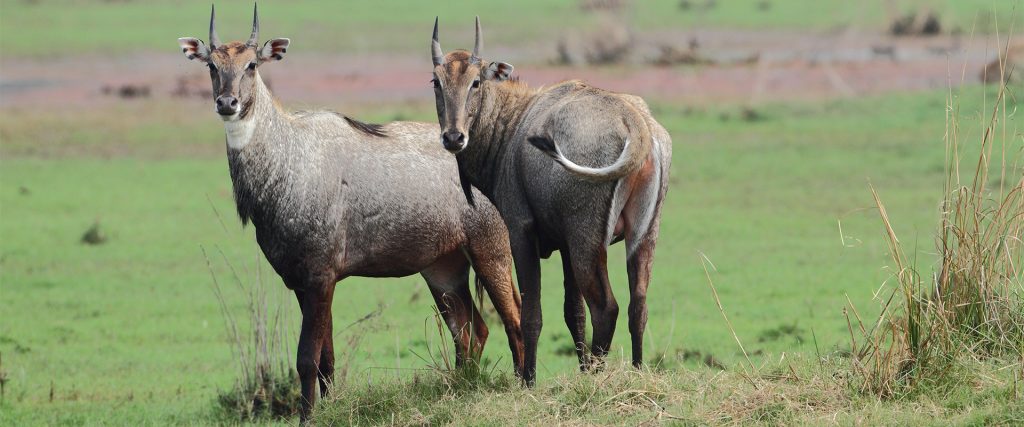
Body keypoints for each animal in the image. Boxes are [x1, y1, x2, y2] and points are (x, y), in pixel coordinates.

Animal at [176, 6, 524, 419]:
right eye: (212, 65)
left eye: (251, 65)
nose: (227, 103)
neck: (289, 159)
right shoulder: (302, 282)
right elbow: (326, 359)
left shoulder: (320, 277)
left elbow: (306, 359)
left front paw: (308, 418)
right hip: (443, 268)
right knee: (471, 331)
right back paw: (461, 389)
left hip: (491, 251)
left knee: (514, 320)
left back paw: (523, 387)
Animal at [425, 17, 671, 382]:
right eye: (436, 82)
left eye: (476, 82)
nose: (454, 137)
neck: (513, 124)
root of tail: (636, 125)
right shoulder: (565, 246)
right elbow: (573, 312)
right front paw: (579, 369)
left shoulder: (522, 232)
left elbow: (532, 313)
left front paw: (528, 380)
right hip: (642, 235)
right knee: (637, 304)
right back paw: (636, 372)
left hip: (587, 240)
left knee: (606, 307)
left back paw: (596, 379)